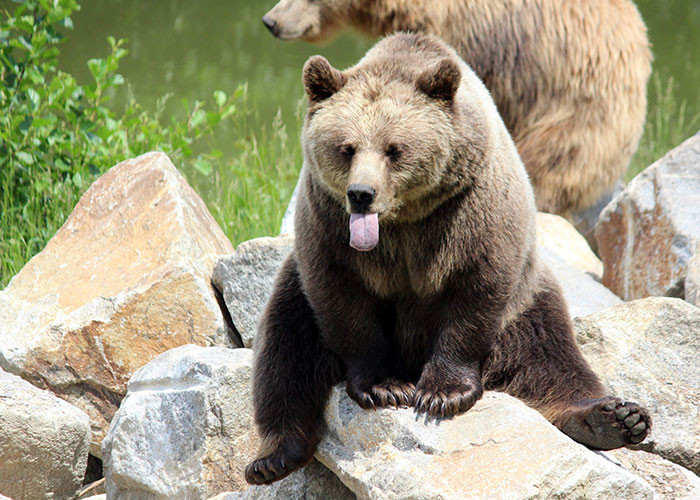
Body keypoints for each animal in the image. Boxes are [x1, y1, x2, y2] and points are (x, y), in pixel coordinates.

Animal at [244, 33, 651, 485]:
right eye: (346, 148)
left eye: (394, 149)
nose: (362, 194)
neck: (404, 217)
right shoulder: (328, 226)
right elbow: (344, 302)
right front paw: (387, 387)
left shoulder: (469, 214)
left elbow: (472, 295)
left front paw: (442, 394)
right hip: (294, 286)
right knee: (284, 350)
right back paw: (275, 456)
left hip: (526, 299)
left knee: (552, 356)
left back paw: (616, 418)